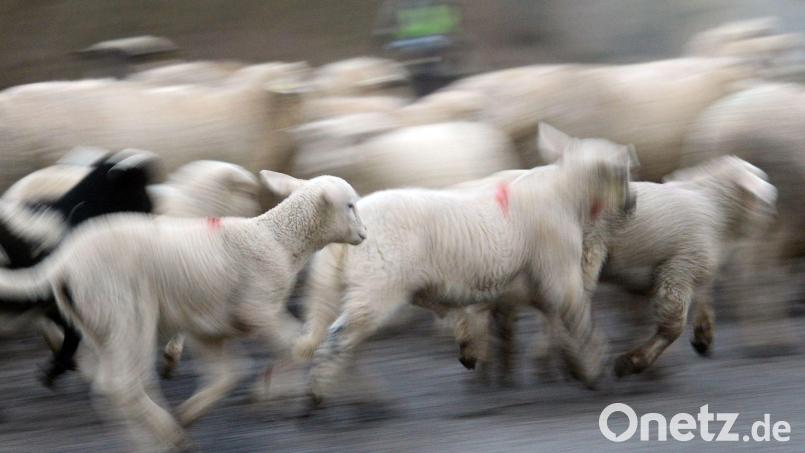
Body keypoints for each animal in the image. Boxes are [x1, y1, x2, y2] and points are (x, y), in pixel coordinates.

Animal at [0, 170, 364, 450]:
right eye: (349, 205)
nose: (363, 234)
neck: (277, 239)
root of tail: (63, 263)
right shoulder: (255, 308)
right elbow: (294, 345)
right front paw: (279, 390)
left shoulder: (209, 325)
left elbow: (229, 373)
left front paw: (195, 412)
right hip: (124, 310)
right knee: (121, 384)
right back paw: (166, 436)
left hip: (97, 320)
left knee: (111, 383)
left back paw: (154, 434)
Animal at [294, 124, 635, 409]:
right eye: (623, 172)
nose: (631, 205)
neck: (566, 195)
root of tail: (348, 228)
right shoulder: (558, 268)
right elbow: (578, 319)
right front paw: (594, 369)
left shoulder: (529, 283)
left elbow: (547, 321)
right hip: (377, 284)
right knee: (341, 337)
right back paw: (319, 396)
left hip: (348, 286)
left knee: (343, 338)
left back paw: (350, 394)